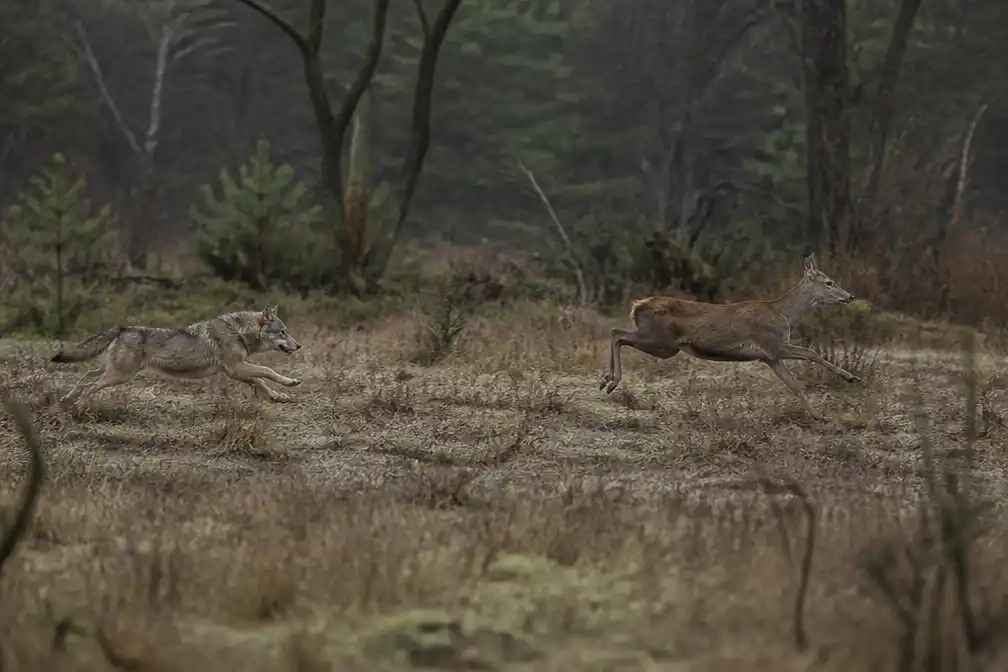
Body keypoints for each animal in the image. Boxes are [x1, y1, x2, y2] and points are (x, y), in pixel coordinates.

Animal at [51, 304, 303, 404]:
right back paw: (80, 404)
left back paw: (67, 399)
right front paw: (291, 382)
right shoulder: (236, 368)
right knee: (89, 385)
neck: (239, 332)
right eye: (283, 332)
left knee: (85, 377)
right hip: (119, 376)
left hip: (112, 371)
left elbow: (261, 382)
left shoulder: (235, 371)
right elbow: (268, 371)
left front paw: (280, 396)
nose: (299, 346)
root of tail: (123, 327)